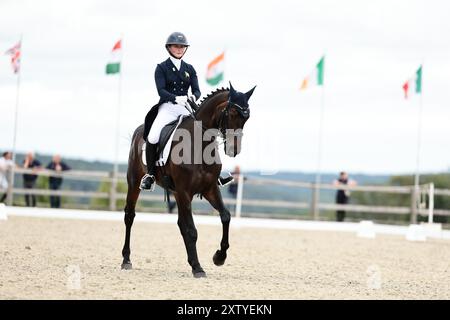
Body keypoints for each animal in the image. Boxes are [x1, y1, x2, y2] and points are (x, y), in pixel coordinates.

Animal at [121, 82, 255, 278]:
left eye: (247, 117)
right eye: (231, 114)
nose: (233, 150)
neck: (199, 145)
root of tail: (140, 130)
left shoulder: (209, 189)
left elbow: (225, 216)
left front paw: (219, 257)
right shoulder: (185, 192)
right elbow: (191, 230)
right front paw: (198, 268)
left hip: (176, 193)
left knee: (180, 224)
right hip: (134, 183)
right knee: (129, 216)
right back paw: (126, 260)